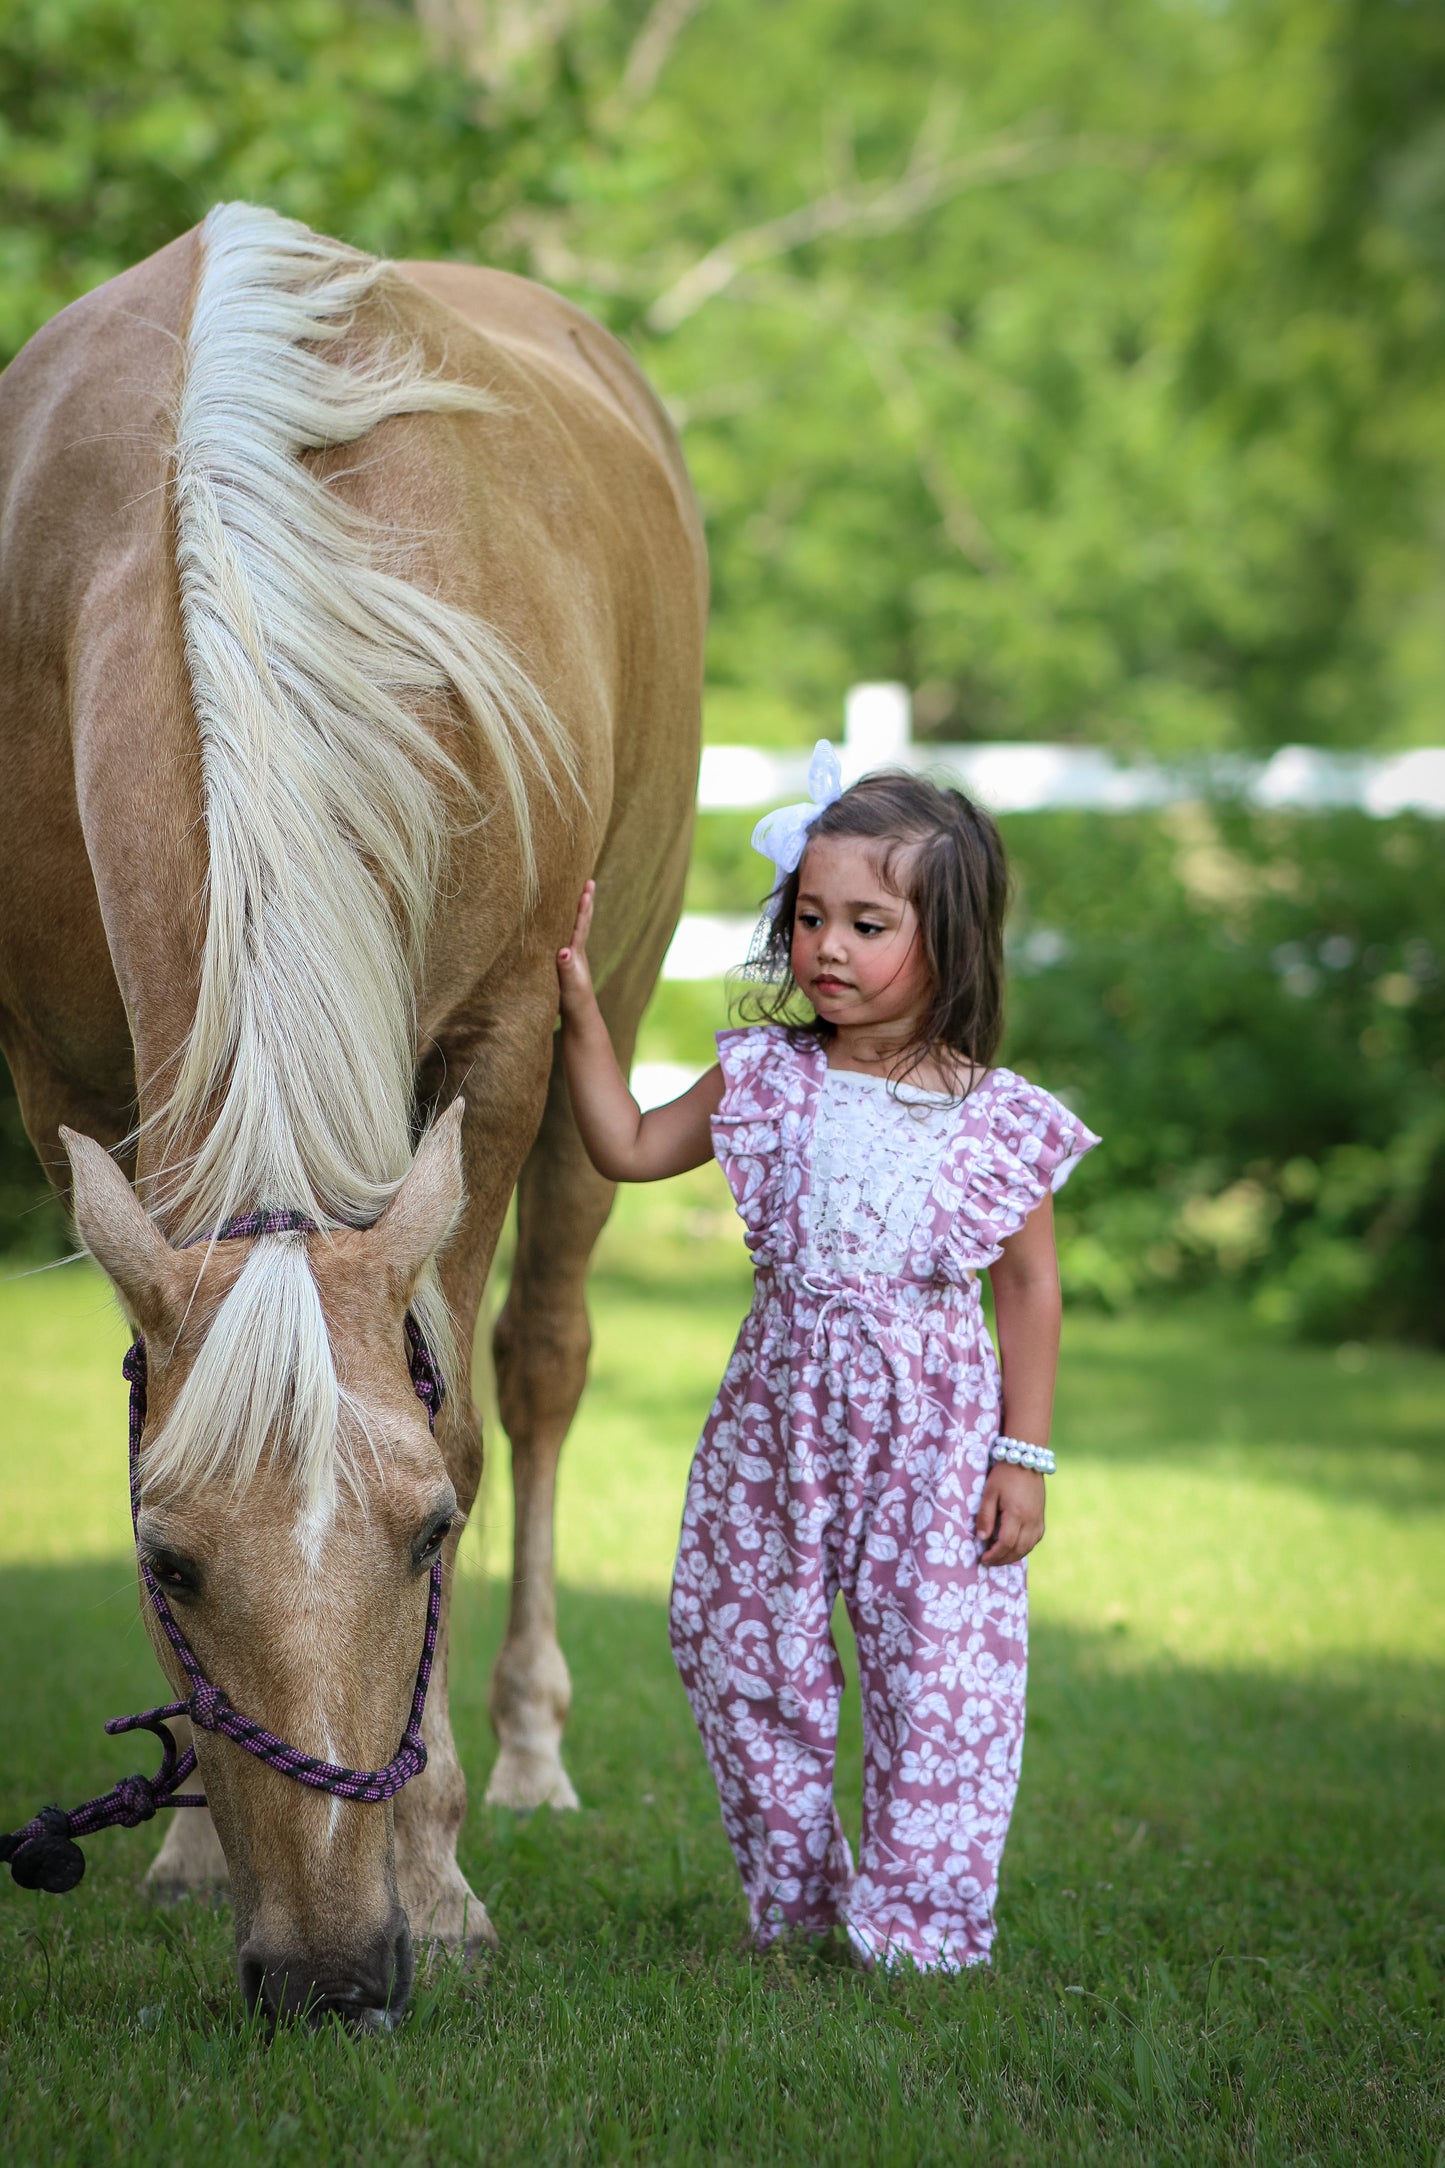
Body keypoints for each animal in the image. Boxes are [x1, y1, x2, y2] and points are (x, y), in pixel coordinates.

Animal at [0, 203, 706, 2011]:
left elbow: (463, 1407)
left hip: (611, 1034)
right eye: (170, 1562)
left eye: (427, 1535)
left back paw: (529, 1752)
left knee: (543, 1361)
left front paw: (441, 1866)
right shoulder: (60, 1075)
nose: (330, 1973)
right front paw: (187, 1844)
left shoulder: (511, 1040)